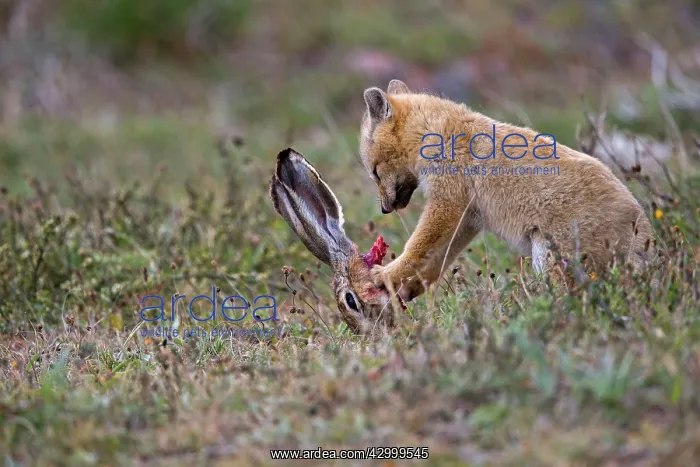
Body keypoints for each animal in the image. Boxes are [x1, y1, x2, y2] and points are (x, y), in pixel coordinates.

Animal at [359, 79, 655, 302]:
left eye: (374, 172)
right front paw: (408, 287)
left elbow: (414, 249)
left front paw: (386, 275)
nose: (384, 209)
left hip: (547, 253)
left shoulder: (446, 206)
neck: (437, 133)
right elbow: (437, 261)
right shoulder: (468, 219)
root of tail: (645, 234)